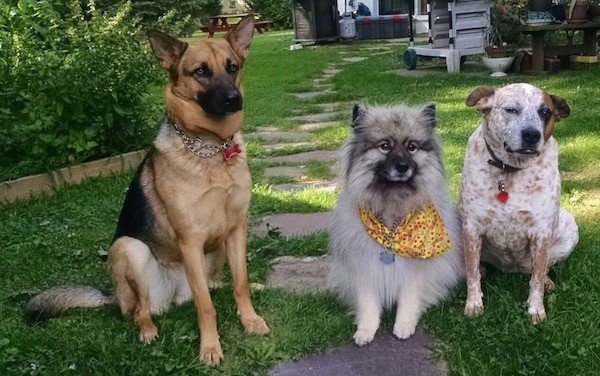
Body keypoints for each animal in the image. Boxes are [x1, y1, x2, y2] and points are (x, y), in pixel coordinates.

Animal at [25, 16, 266, 364]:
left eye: (231, 67)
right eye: (201, 71)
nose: (234, 99)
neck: (209, 149)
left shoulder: (236, 229)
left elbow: (240, 283)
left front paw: (250, 319)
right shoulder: (190, 240)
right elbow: (205, 306)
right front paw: (210, 347)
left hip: (217, 246)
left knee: (215, 284)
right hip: (130, 249)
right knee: (144, 309)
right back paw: (148, 331)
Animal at [328, 103, 464, 346]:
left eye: (412, 147)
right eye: (385, 146)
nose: (402, 166)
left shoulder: (413, 271)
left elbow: (408, 300)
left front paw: (404, 325)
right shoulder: (364, 266)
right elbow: (368, 303)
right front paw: (365, 330)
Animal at [460, 83, 576, 324]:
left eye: (545, 112)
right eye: (511, 109)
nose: (532, 134)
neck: (509, 170)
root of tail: (511, 268)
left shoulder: (541, 233)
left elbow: (536, 278)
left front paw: (536, 309)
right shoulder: (471, 227)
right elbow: (472, 273)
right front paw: (474, 304)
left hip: (568, 227)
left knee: (540, 270)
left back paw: (547, 281)